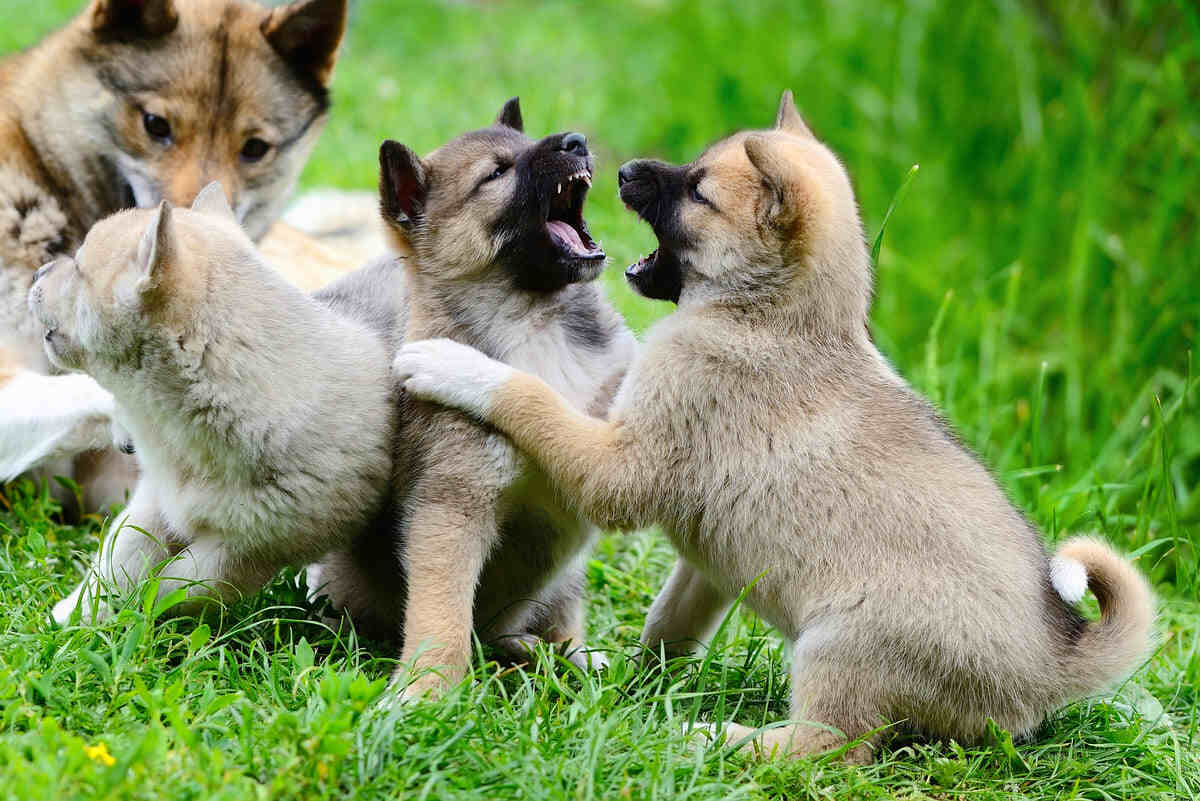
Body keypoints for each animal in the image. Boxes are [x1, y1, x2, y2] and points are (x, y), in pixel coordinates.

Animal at [398, 90, 1156, 762]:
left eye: (698, 191)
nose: (619, 165)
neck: (774, 319)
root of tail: (1055, 662)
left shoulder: (620, 470)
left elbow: (530, 395)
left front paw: (452, 364)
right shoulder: (708, 567)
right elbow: (669, 622)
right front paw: (631, 684)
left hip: (841, 647)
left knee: (827, 748)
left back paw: (709, 736)